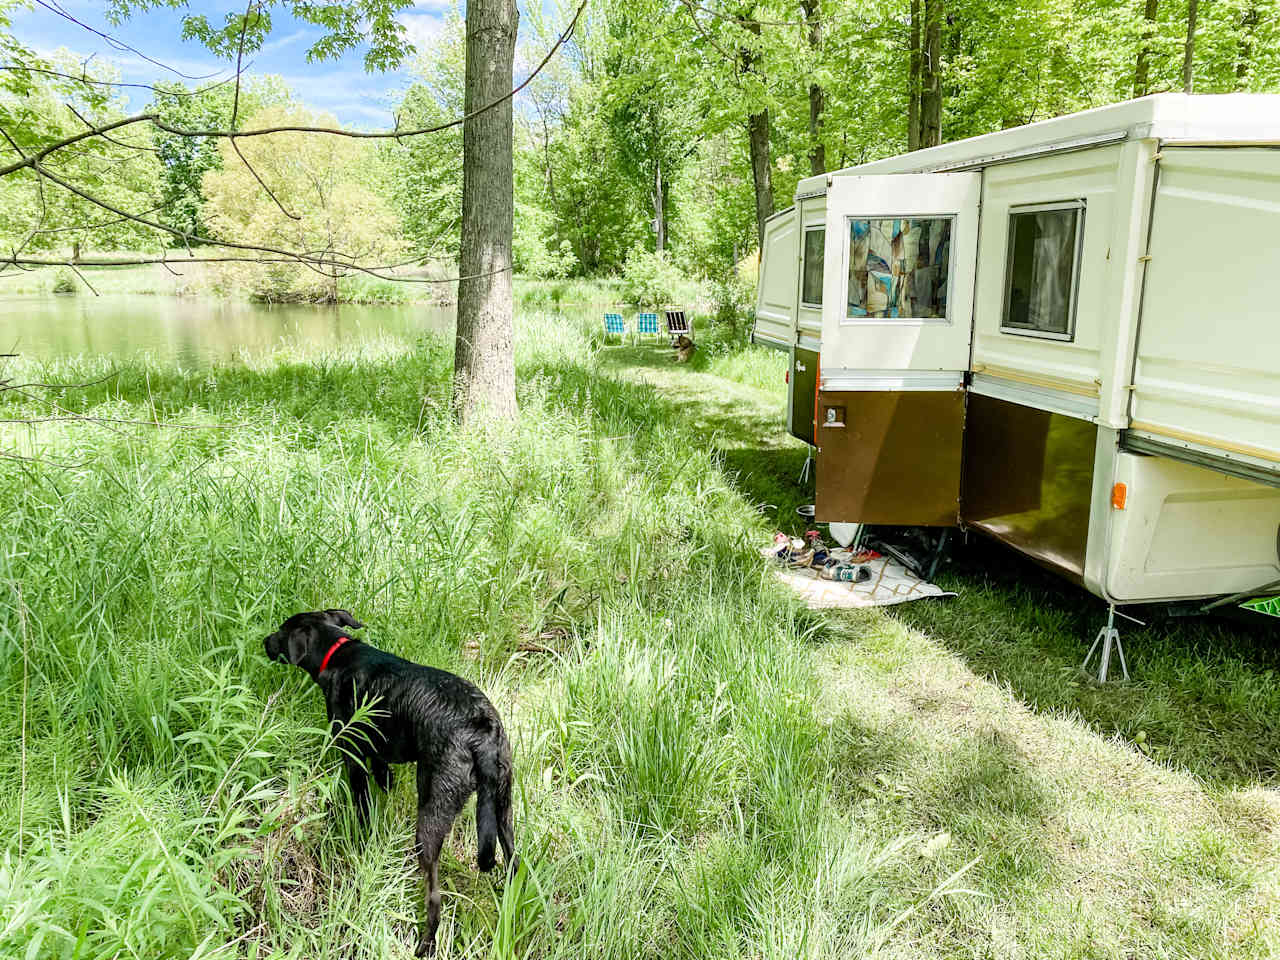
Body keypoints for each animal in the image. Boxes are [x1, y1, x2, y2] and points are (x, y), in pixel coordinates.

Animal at [262, 611, 517, 957]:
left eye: (280, 631)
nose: (264, 641)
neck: (339, 653)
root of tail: (482, 734)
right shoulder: (377, 754)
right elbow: (383, 779)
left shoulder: (353, 756)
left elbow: (363, 808)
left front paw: (361, 843)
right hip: (504, 809)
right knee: (515, 863)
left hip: (431, 817)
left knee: (435, 900)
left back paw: (425, 945)